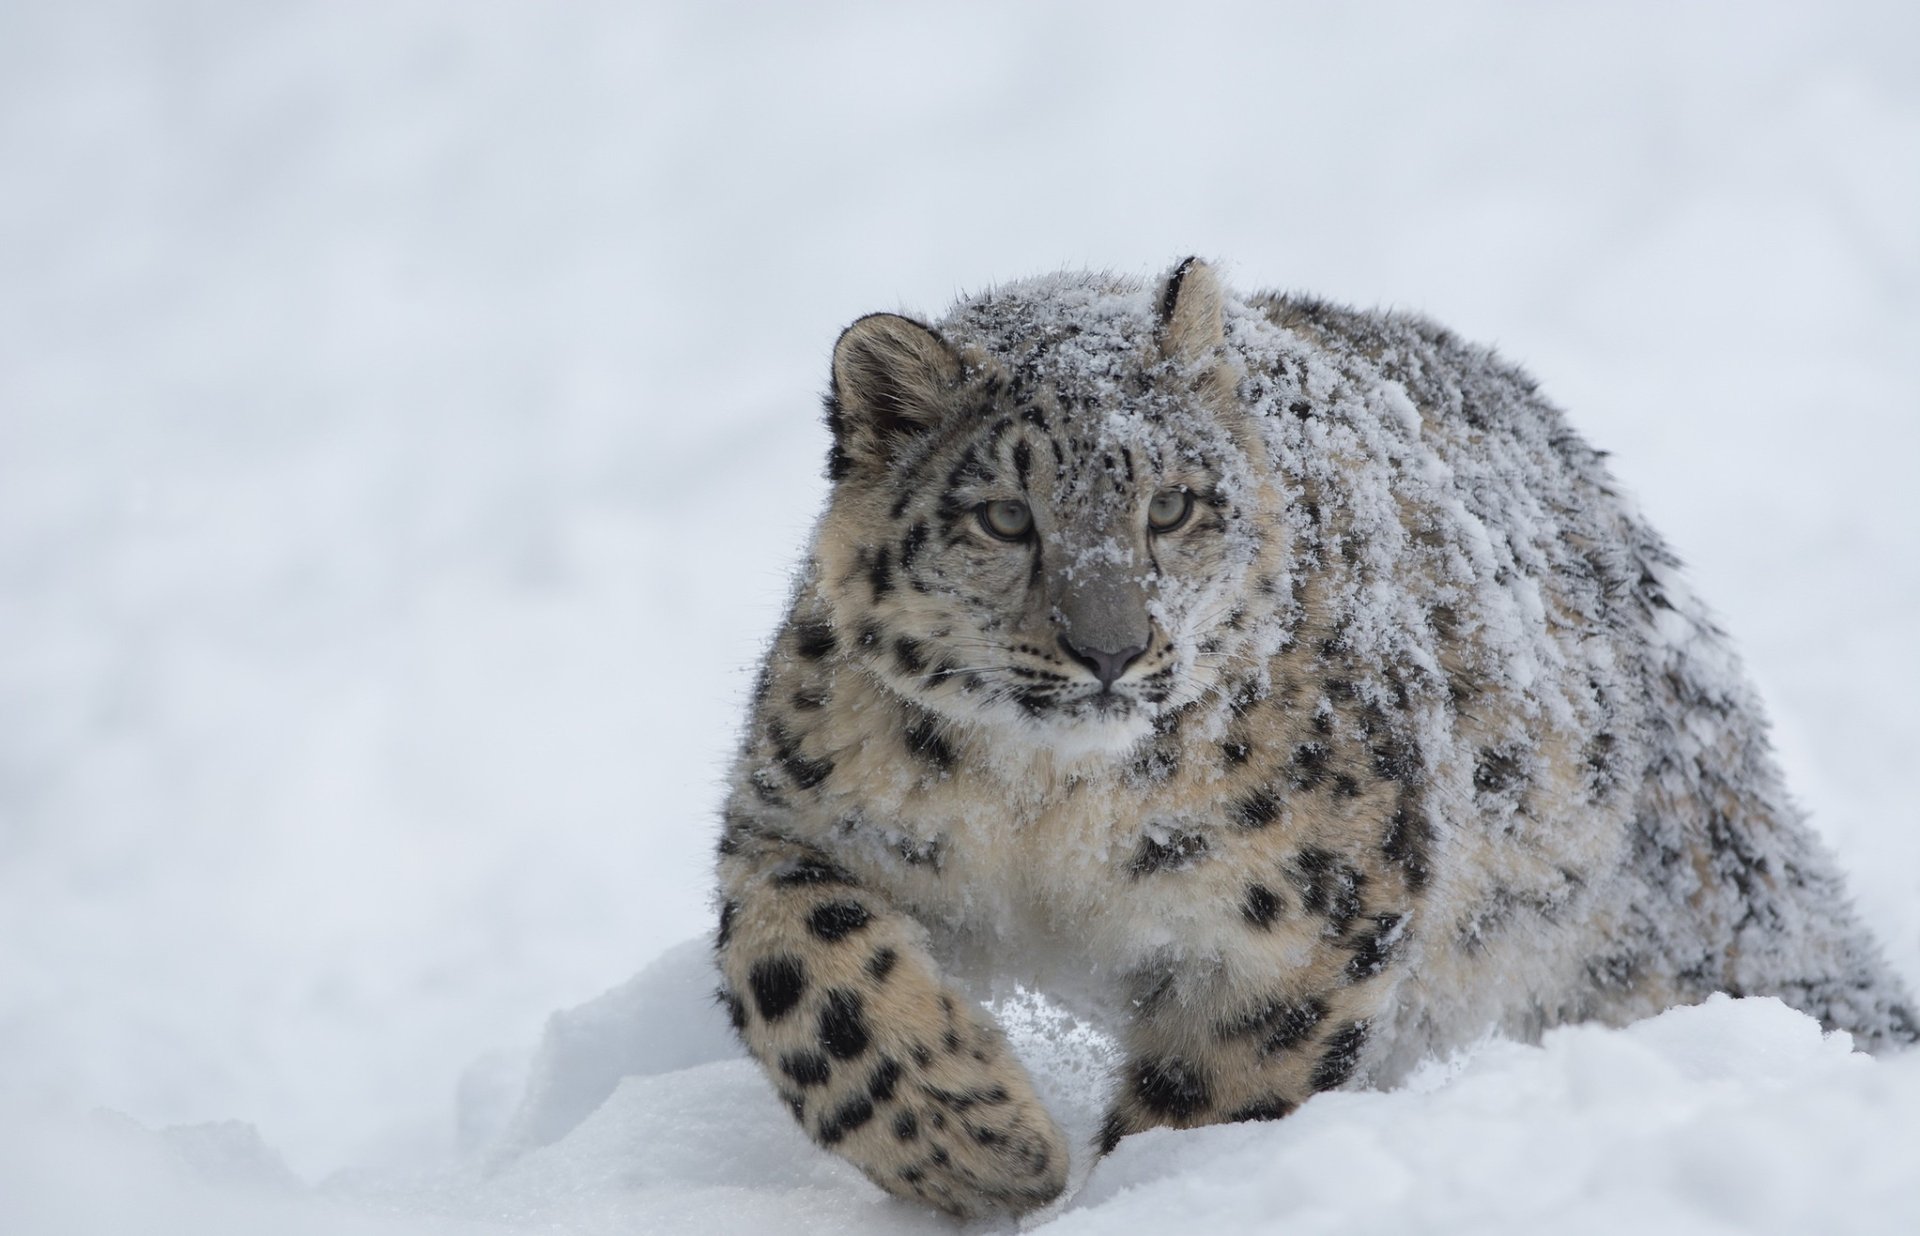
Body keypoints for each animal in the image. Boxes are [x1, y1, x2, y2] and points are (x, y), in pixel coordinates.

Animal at [709, 258, 1916, 1218]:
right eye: (1005, 516)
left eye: (1173, 506)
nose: (1110, 649)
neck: (1047, 821)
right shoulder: (799, 816)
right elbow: (806, 981)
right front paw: (985, 1150)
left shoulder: (1308, 907)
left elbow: (1221, 1084)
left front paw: (1149, 1193)